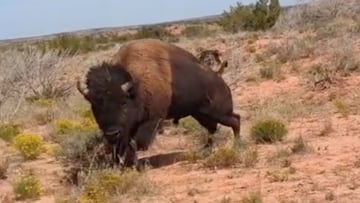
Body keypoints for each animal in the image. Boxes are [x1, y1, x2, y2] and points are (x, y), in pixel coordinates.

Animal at [76, 37, 240, 167]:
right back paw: (206, 149)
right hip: (201, 115)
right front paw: (122, 164)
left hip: (219, 113)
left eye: (123, 102)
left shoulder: (152, 120)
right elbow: (124, 144)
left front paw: (134, 163)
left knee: (235, 120)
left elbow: (137, 142)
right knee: (213, 129)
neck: (135, 88)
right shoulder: (127, 129)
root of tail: (221, 80)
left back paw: (237, 145)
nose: (111, 133)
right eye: (95, 105)